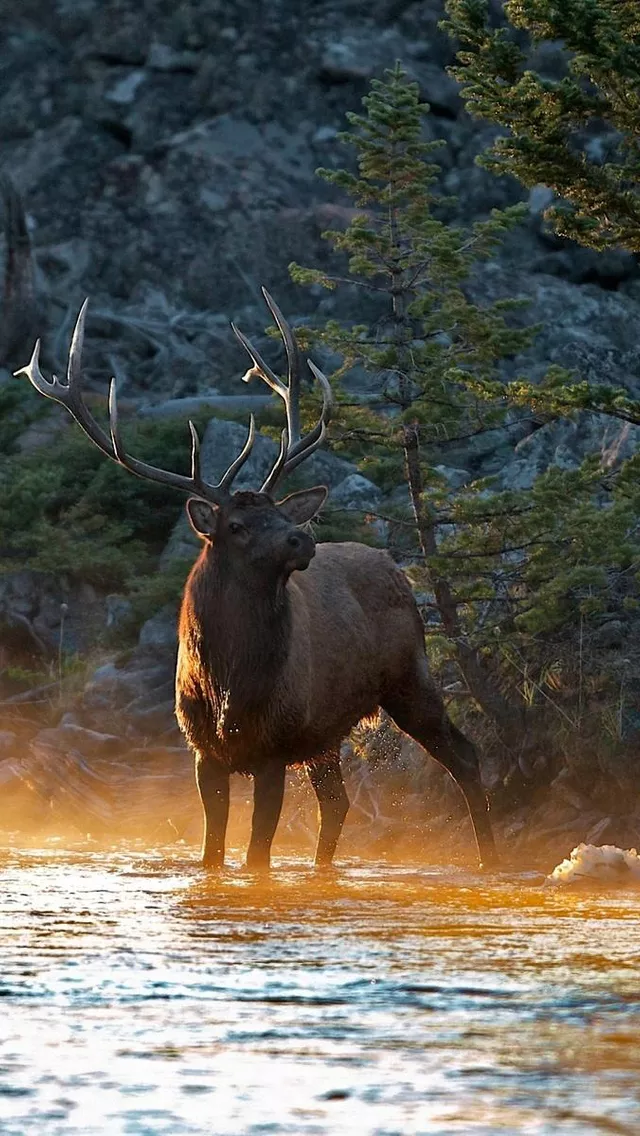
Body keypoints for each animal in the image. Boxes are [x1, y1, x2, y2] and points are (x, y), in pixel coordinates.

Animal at [13, 290, 495, 867]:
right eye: (237, 526)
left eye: (282, 514)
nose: (301, 539)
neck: (228, 687)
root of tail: (393, 565)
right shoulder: (204, 751)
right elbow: (212, 853)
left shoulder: (274, 747)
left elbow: (257, 855)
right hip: (325, 731)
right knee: (338, 802)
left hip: (408, 675)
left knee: (464, 755)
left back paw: (492, 859)